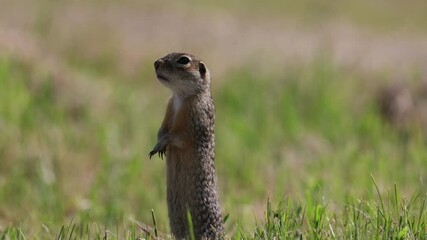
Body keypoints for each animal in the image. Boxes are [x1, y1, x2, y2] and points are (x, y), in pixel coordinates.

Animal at [150, 53, 226, 240]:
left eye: (183, 60)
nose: (155, 63)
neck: (180, 97)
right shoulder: (169, 108)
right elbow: (161, 130)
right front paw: (158, 145)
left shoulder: (194, 120)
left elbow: (178, 136)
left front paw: (162, 144)